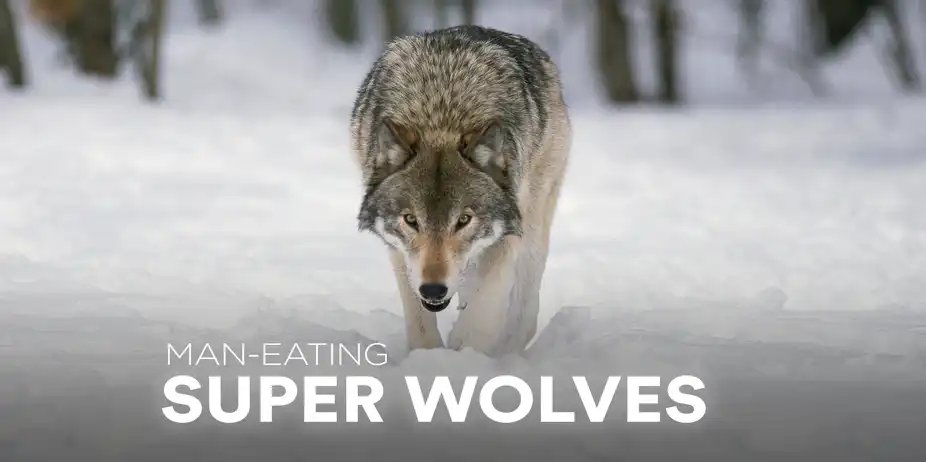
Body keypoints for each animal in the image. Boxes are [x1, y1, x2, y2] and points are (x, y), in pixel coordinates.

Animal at [349, 25, 571, 358]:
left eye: (464, 220)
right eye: (411, 220)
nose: (433, 289)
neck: (442, 114)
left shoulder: (509, 230)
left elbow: (484, 308)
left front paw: (465, 352)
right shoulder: (400, 252)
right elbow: (420, 324)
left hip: (534, 223)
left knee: (525, 313)